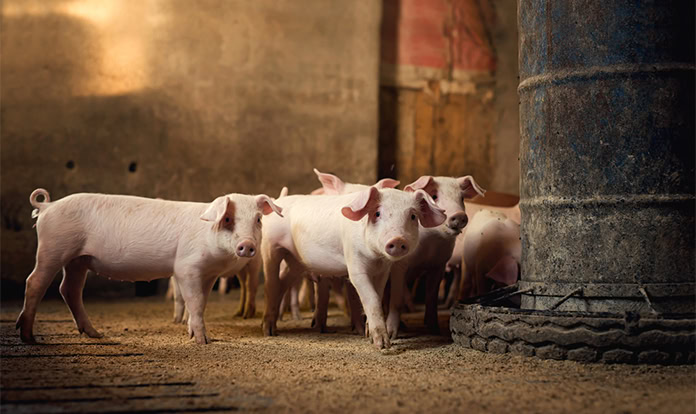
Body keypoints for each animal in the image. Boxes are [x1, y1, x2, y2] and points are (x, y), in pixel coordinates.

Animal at [17, 188, 282, 344]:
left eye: (258, 220)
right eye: (227, 219)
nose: (247, 245)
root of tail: (47, 207)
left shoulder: (208, 275)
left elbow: (201, 303)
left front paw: (194, 334)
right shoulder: (186, 267)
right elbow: (195, 302)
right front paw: (203, 341)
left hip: (78, 260)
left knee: (68, 289)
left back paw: (95, 334)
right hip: (53, 248)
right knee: (35, 282)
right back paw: (29, 337)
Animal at [261, 185, 446, 349]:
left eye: (413, 216)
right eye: (377, 213)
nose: (398, 239)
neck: (375, 258)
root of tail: (279, 200)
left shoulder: (383, 271)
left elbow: (378, 295)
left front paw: (368, 335)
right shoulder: (354, 263)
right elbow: (371, 298)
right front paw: (382, 345)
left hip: (296, 261)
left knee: (282, 282)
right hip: (270, 246)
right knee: (272, 284)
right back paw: (269, 331)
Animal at [385, 175, 485, 338]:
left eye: (462, 198)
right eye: (434, 196)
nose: (459, 215)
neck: (431, 245)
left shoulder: (439, 265)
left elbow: (431, 296)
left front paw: (435, 330)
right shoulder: (399, 266)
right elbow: (397, 298)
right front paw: (391, 335)